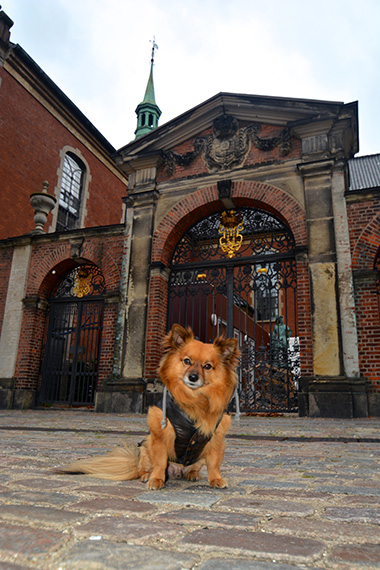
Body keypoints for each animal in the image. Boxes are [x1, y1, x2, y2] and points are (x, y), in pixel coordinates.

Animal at [56, 324, 239, 488]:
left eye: (207, 366)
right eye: (187, 361)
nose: (193, 377)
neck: (194, 401)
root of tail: (177, 471)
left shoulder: (215, 440)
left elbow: (213, 464)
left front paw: (216, 480)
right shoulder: (160, 437)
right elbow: (160, 463)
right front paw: (156, 480)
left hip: (198, 457)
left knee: (195, 467)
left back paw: (192, 475)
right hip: (145, 448)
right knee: (144, 468)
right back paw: (146, 476)